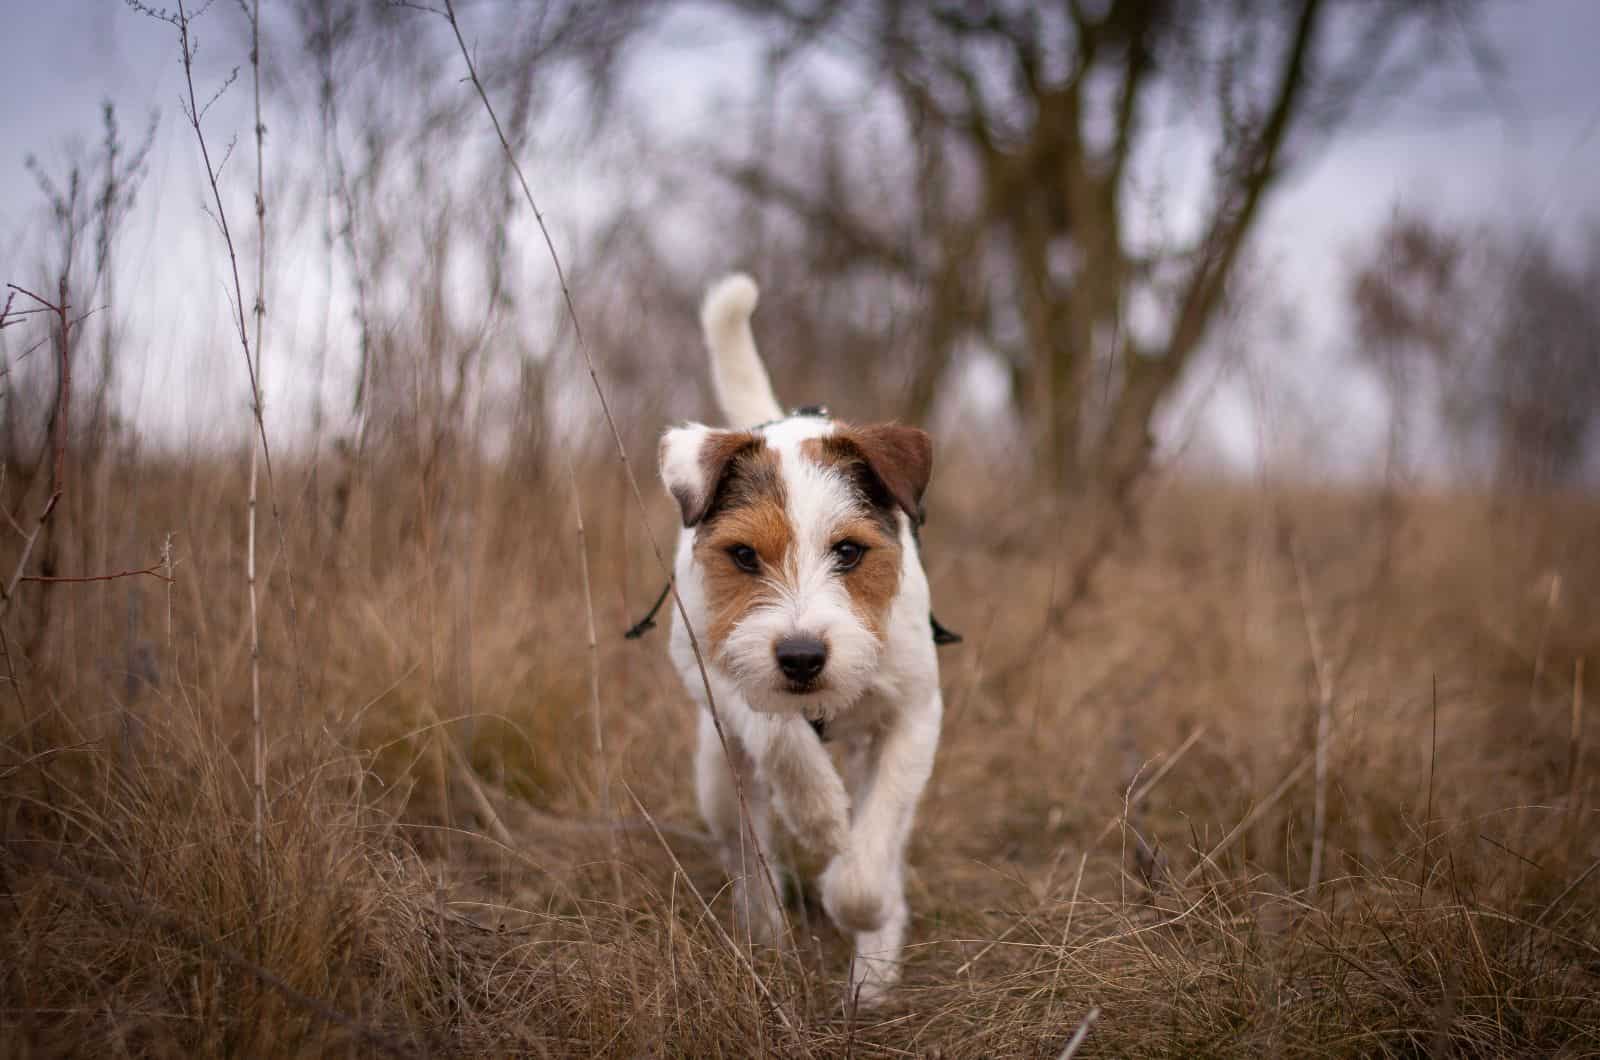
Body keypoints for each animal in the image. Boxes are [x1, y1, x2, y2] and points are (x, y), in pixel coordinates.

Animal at [656, 272, 940, 1005]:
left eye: (849, 551)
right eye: (743, 556)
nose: (803, 658)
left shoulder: (915, 714)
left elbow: (870, 859)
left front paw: (859, 906)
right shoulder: (717, 671)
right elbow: (778, 734)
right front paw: (819, 814)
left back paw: (873, 969)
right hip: (716, 779)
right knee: (748, 850)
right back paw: (766, 931)